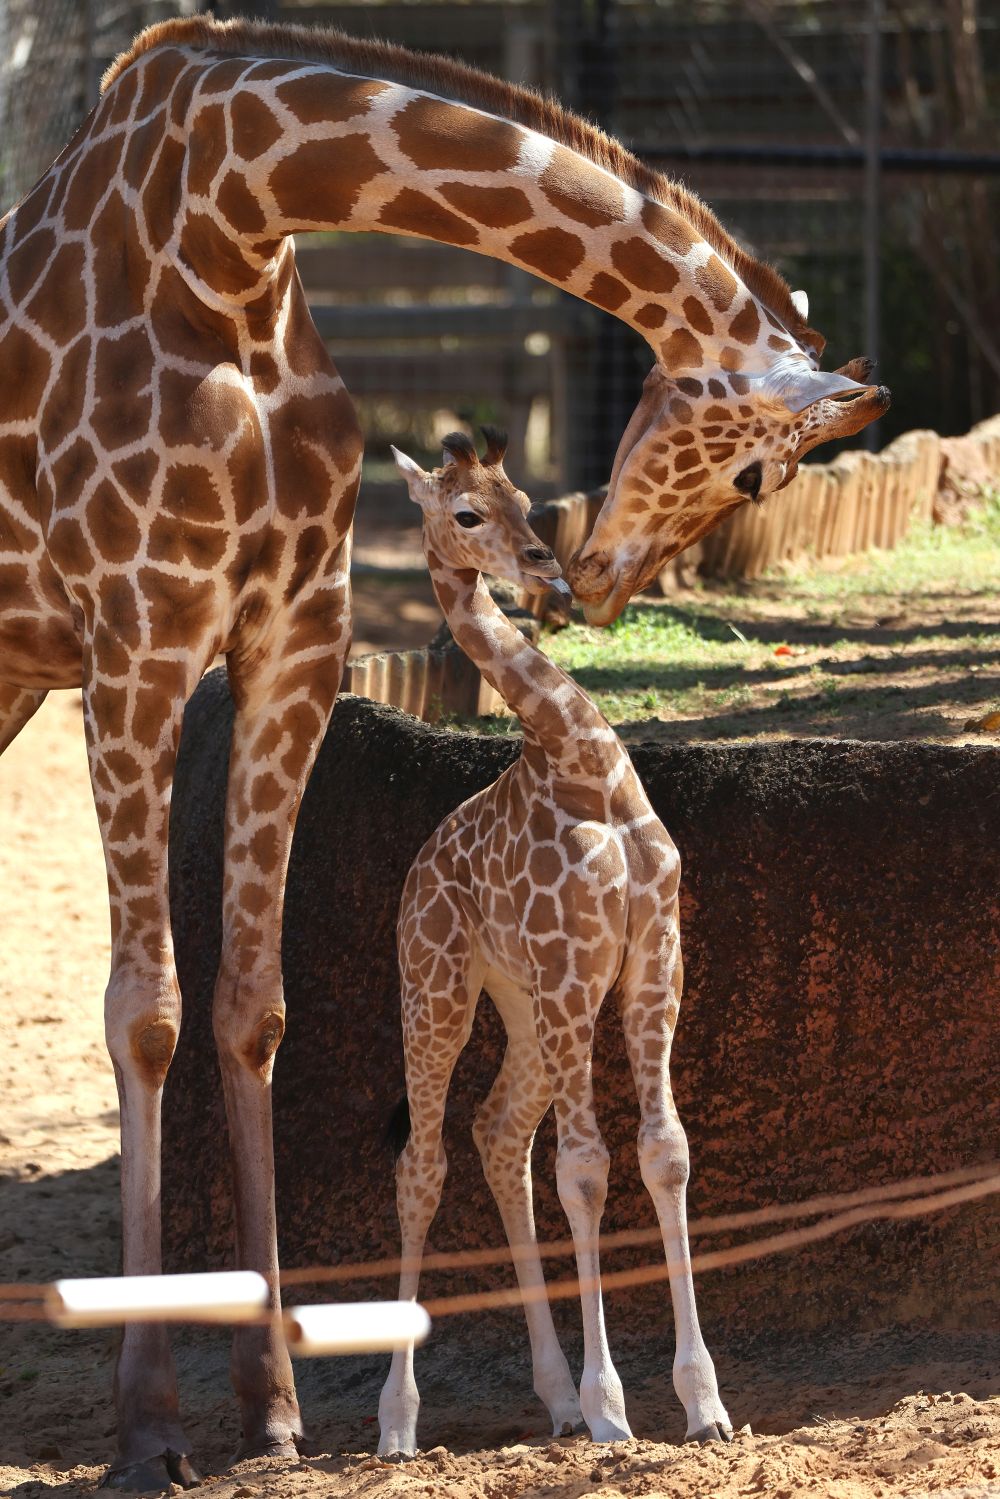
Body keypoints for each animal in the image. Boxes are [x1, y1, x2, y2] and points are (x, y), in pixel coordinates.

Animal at [379, 428, 731, 1457]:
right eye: (464, 512)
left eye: (526, 502)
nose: (542, 563)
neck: (585, 767)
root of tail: (416, 873)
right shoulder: (576, 966)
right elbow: (586, 1170)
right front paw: (616, 1407)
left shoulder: (654, 961)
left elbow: (664, 1151)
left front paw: (703, 1402)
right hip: (439, 990)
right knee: (423, 1164)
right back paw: (399, 1420)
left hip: (527, 1009)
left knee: (499, 1133)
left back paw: (556, 1399)